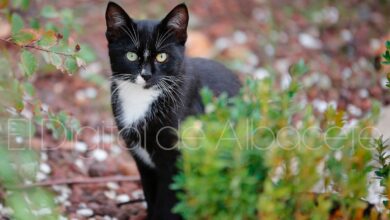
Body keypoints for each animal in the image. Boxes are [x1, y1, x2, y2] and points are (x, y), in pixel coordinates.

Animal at [105, 2, 241, 220]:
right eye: (131, 55)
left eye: (162, 56)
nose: (146, 74)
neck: (143, 98)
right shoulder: (142, 161)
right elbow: (150, 196)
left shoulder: (176, 160)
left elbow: (167, 202)